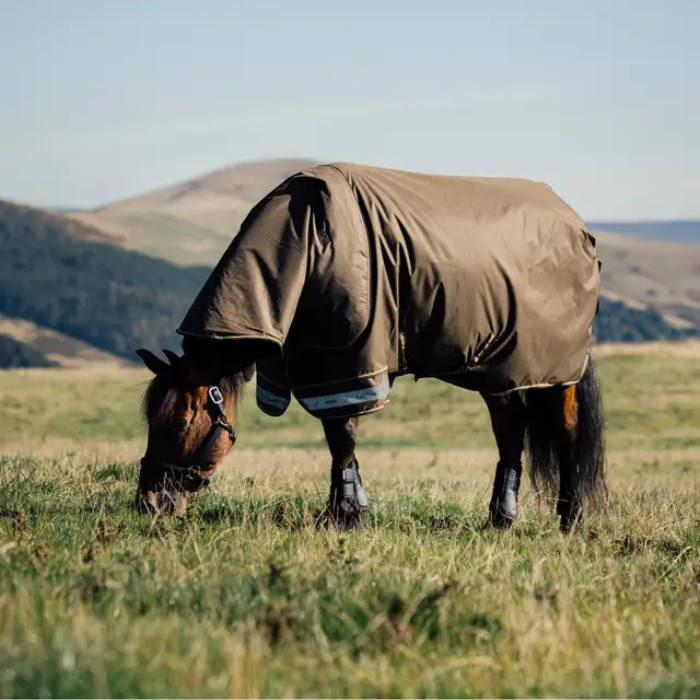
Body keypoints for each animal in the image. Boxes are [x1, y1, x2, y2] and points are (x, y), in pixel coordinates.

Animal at [135, 162, 607, 531]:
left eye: (179, 422)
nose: (149, 503)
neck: (306, 245)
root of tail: (577, 225)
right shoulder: (316, 363)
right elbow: (336, 440)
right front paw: (346, 511)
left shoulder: (348, 362)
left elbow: (343, 437)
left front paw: (343, 516)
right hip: (499, 367)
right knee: (510, 432)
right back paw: (500, 519)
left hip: (556, 369)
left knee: (566, 432)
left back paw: (570, 519)